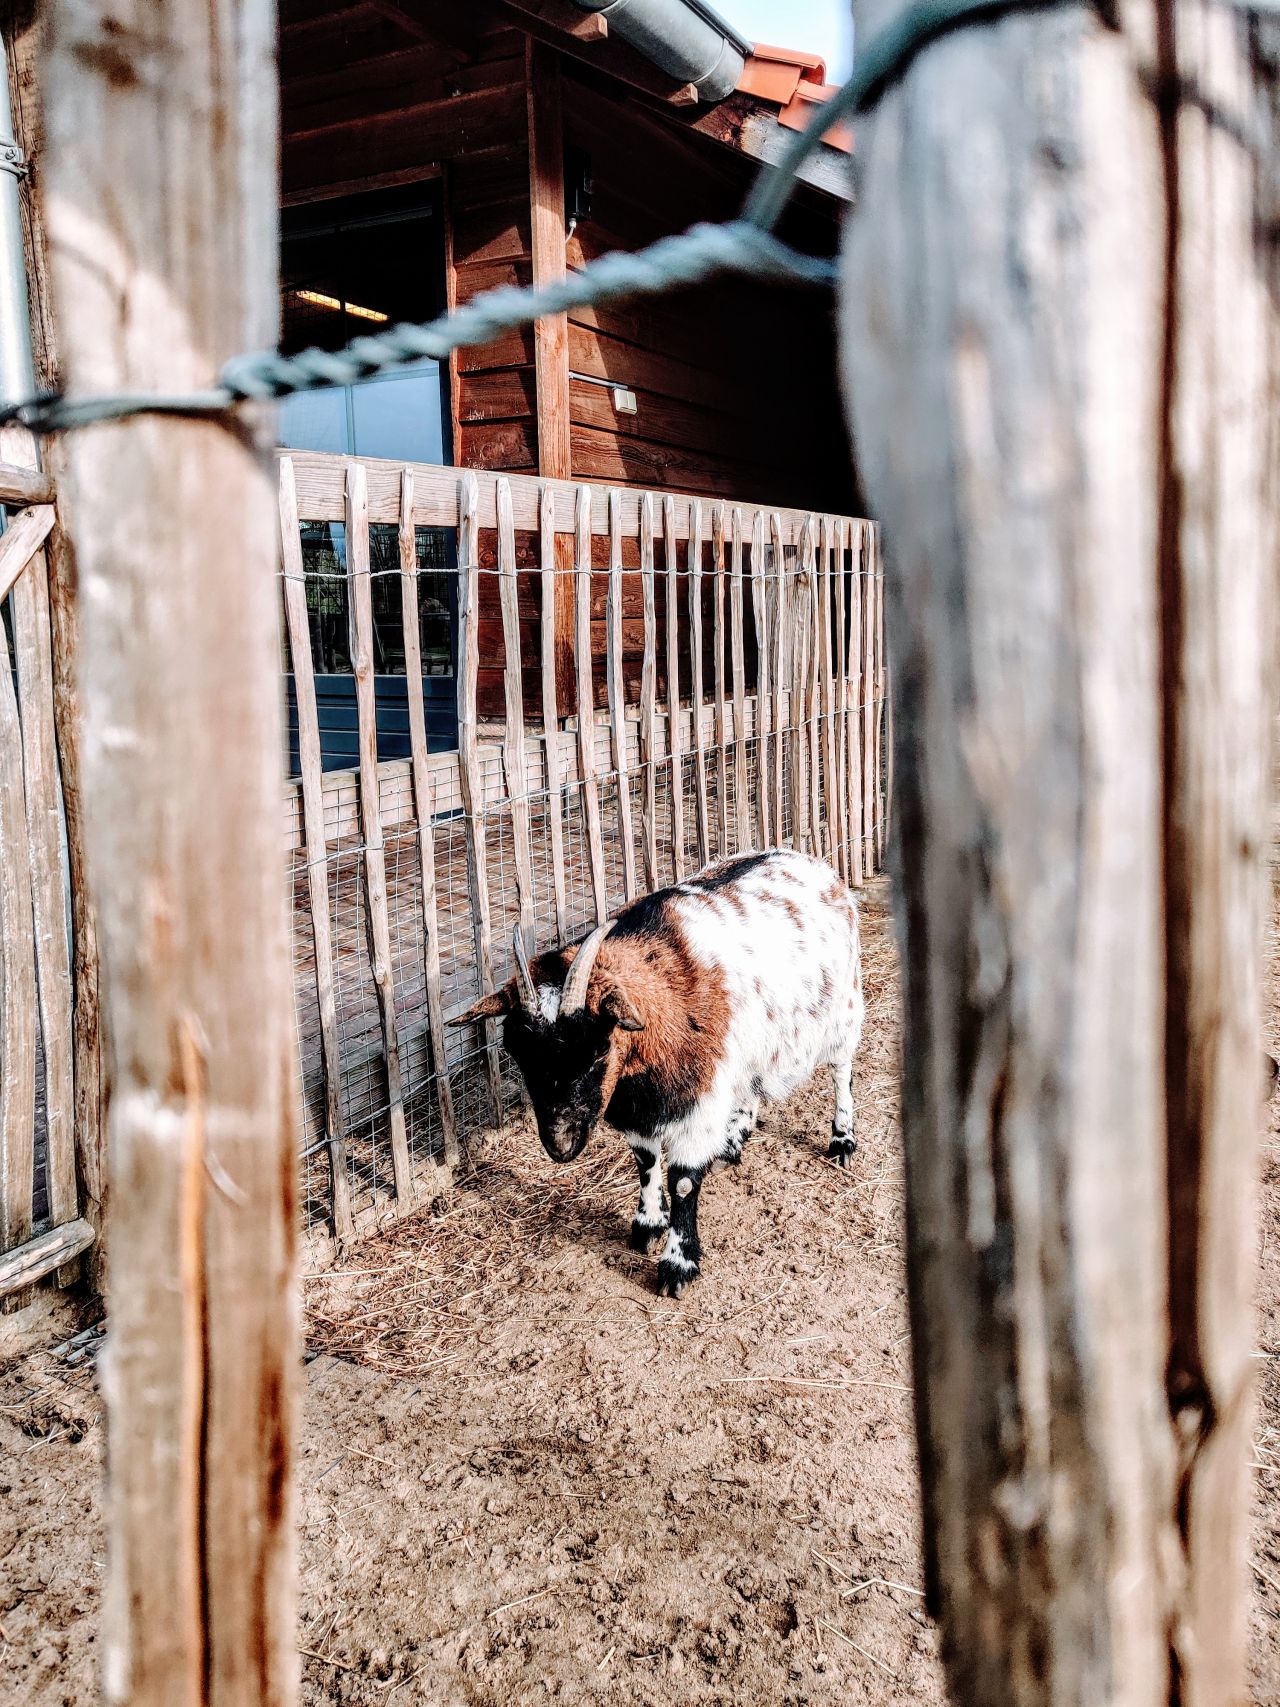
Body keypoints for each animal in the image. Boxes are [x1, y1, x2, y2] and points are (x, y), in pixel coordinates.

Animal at [457, 846, 866, 1297]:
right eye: (516, 1051)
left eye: (600, 1046)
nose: (561, 1145)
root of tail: (809, 861)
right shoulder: (642, 1106)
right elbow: (646, 1161)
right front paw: (649, 1224)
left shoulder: (699, 1100)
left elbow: (683, 1181)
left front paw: (677, 1266)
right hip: (752, 1042)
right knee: (750, 1083)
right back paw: (733, 1141)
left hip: (844, 1007)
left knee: (842, 1071)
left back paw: (842, 1139)